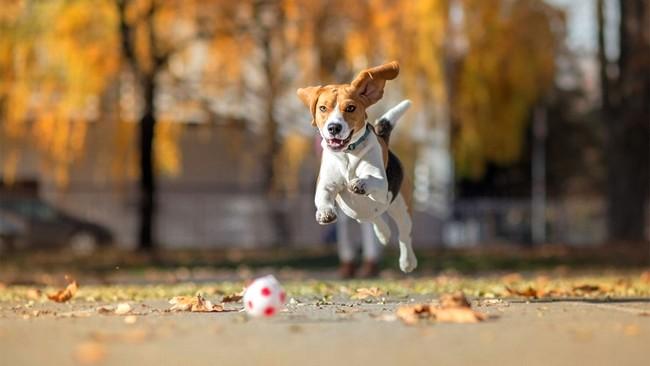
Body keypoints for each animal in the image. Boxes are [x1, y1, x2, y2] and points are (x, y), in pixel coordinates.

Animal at [298, 61, 416, 274]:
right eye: (323, 108)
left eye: (350, 108)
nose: (333, 128)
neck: (347, 154)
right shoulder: (325, 184)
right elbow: (323, 197)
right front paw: (325, 212)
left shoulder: (381, 185)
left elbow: (370, 180)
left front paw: (359, 183)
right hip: (361, 213)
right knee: (372, 218)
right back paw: (383, 233)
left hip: (400, 206)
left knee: (404, 235)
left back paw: (407, 261)